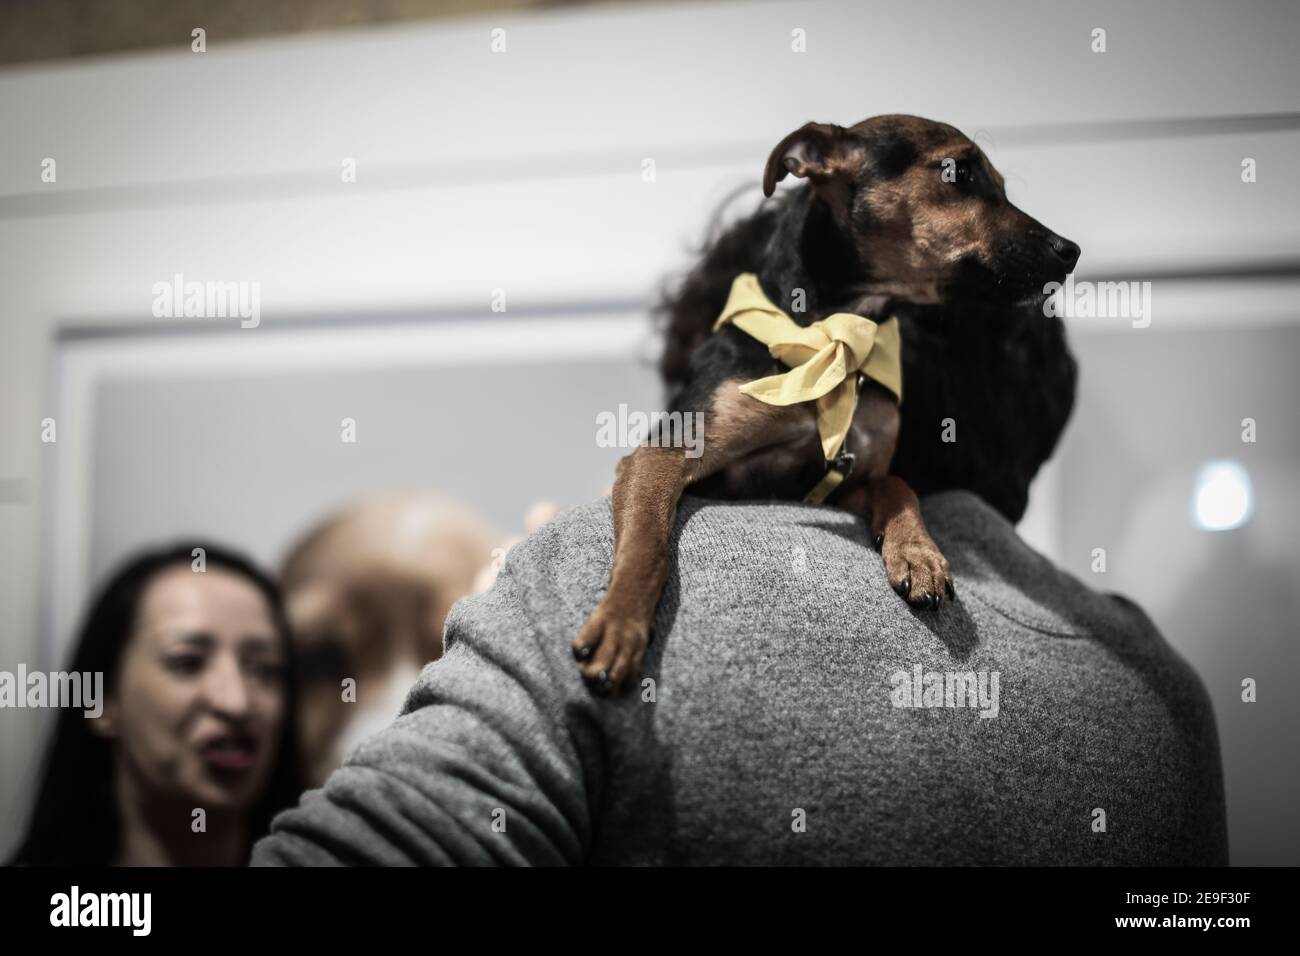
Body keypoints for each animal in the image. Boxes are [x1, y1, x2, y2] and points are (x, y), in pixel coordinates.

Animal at [577, 115, 1076, 697]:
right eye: (960, 173)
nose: (1071, 250)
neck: (831, 337)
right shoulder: (666, 455)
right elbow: (646, 545)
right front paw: (620, 624)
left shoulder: (846, 481)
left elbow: (897, 485)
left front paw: (917, 553)